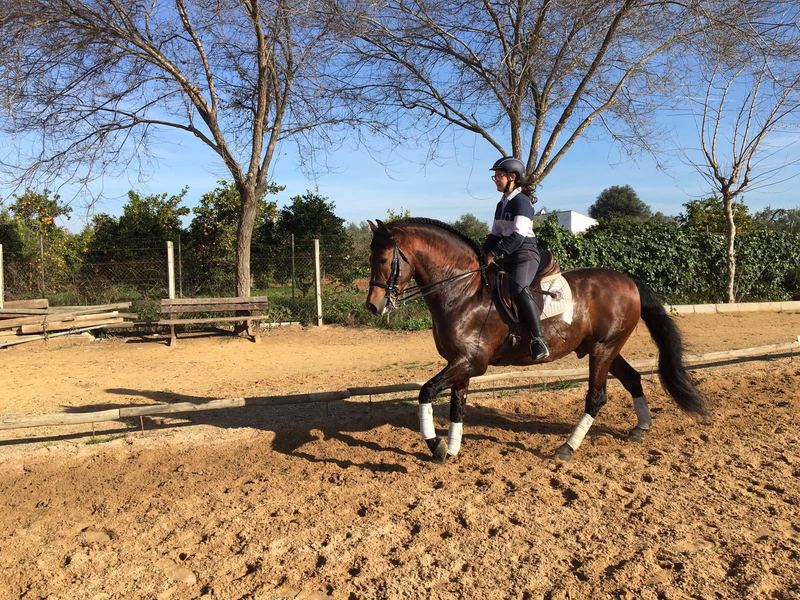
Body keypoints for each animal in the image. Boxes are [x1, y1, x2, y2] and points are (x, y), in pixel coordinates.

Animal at [365, 217, 707, 463]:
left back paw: (567, 448)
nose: (373, 306)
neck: (462, 291)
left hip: (603, 349)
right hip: (604, 348)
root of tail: (628, 280)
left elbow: (425, 392)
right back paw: (640, 428)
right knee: (632, 378)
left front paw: (435, 446)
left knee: (596, 397)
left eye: (383, 259)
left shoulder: (471, 363)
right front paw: (451, 450)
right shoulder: (460, 363)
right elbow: (456, 406)